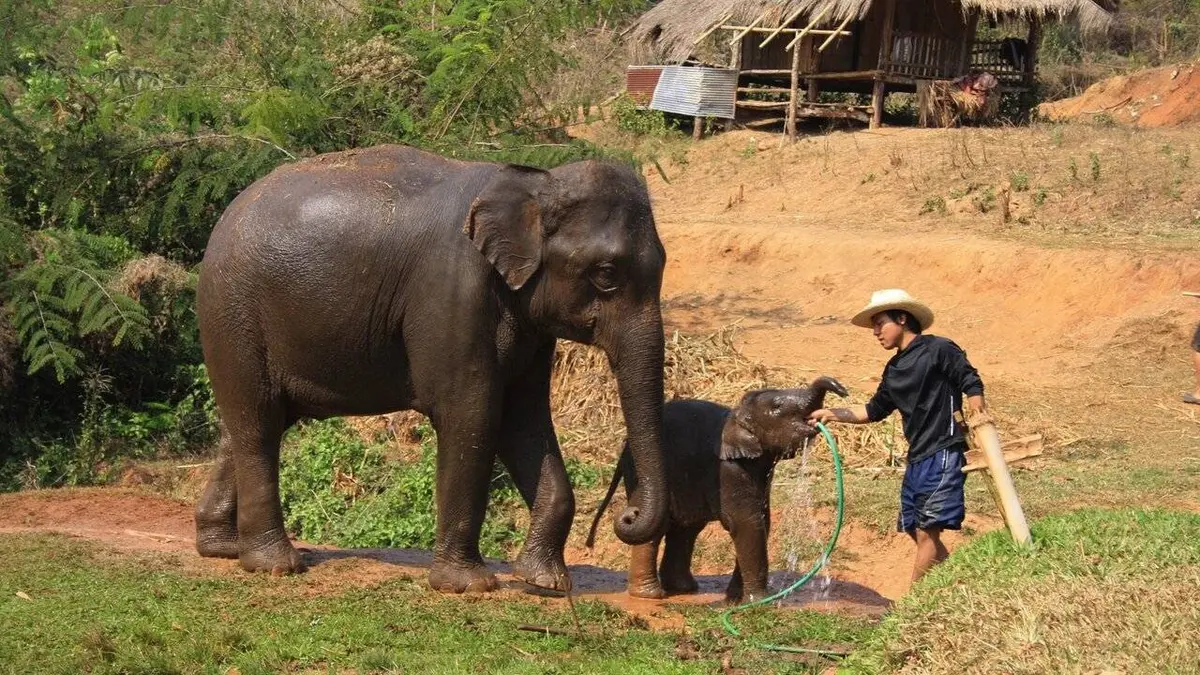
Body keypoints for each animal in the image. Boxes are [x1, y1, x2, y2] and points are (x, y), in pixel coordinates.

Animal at [193, 144, 670, 594]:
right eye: (606, 274)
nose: (627, 516)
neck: (537, 185)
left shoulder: (530, 326)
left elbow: (525, 421)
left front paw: (544, 582)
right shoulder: (454, 292)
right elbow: (472, 416)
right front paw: (468, 586)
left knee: (251, 423)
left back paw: (222, 547)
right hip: (233, 314)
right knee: (258, 424)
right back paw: (274, 564)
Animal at [585, 376, 848, 602]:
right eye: (777, 405)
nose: (844, 391)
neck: (736, 415)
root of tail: (624, 449)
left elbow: (763, 521)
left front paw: (735, 599)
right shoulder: (727, 469)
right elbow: (746, 523)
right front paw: (758, 602)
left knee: (687, 528)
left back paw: (684, 589)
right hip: (640, 475)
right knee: (660, 526)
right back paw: (650, 595)